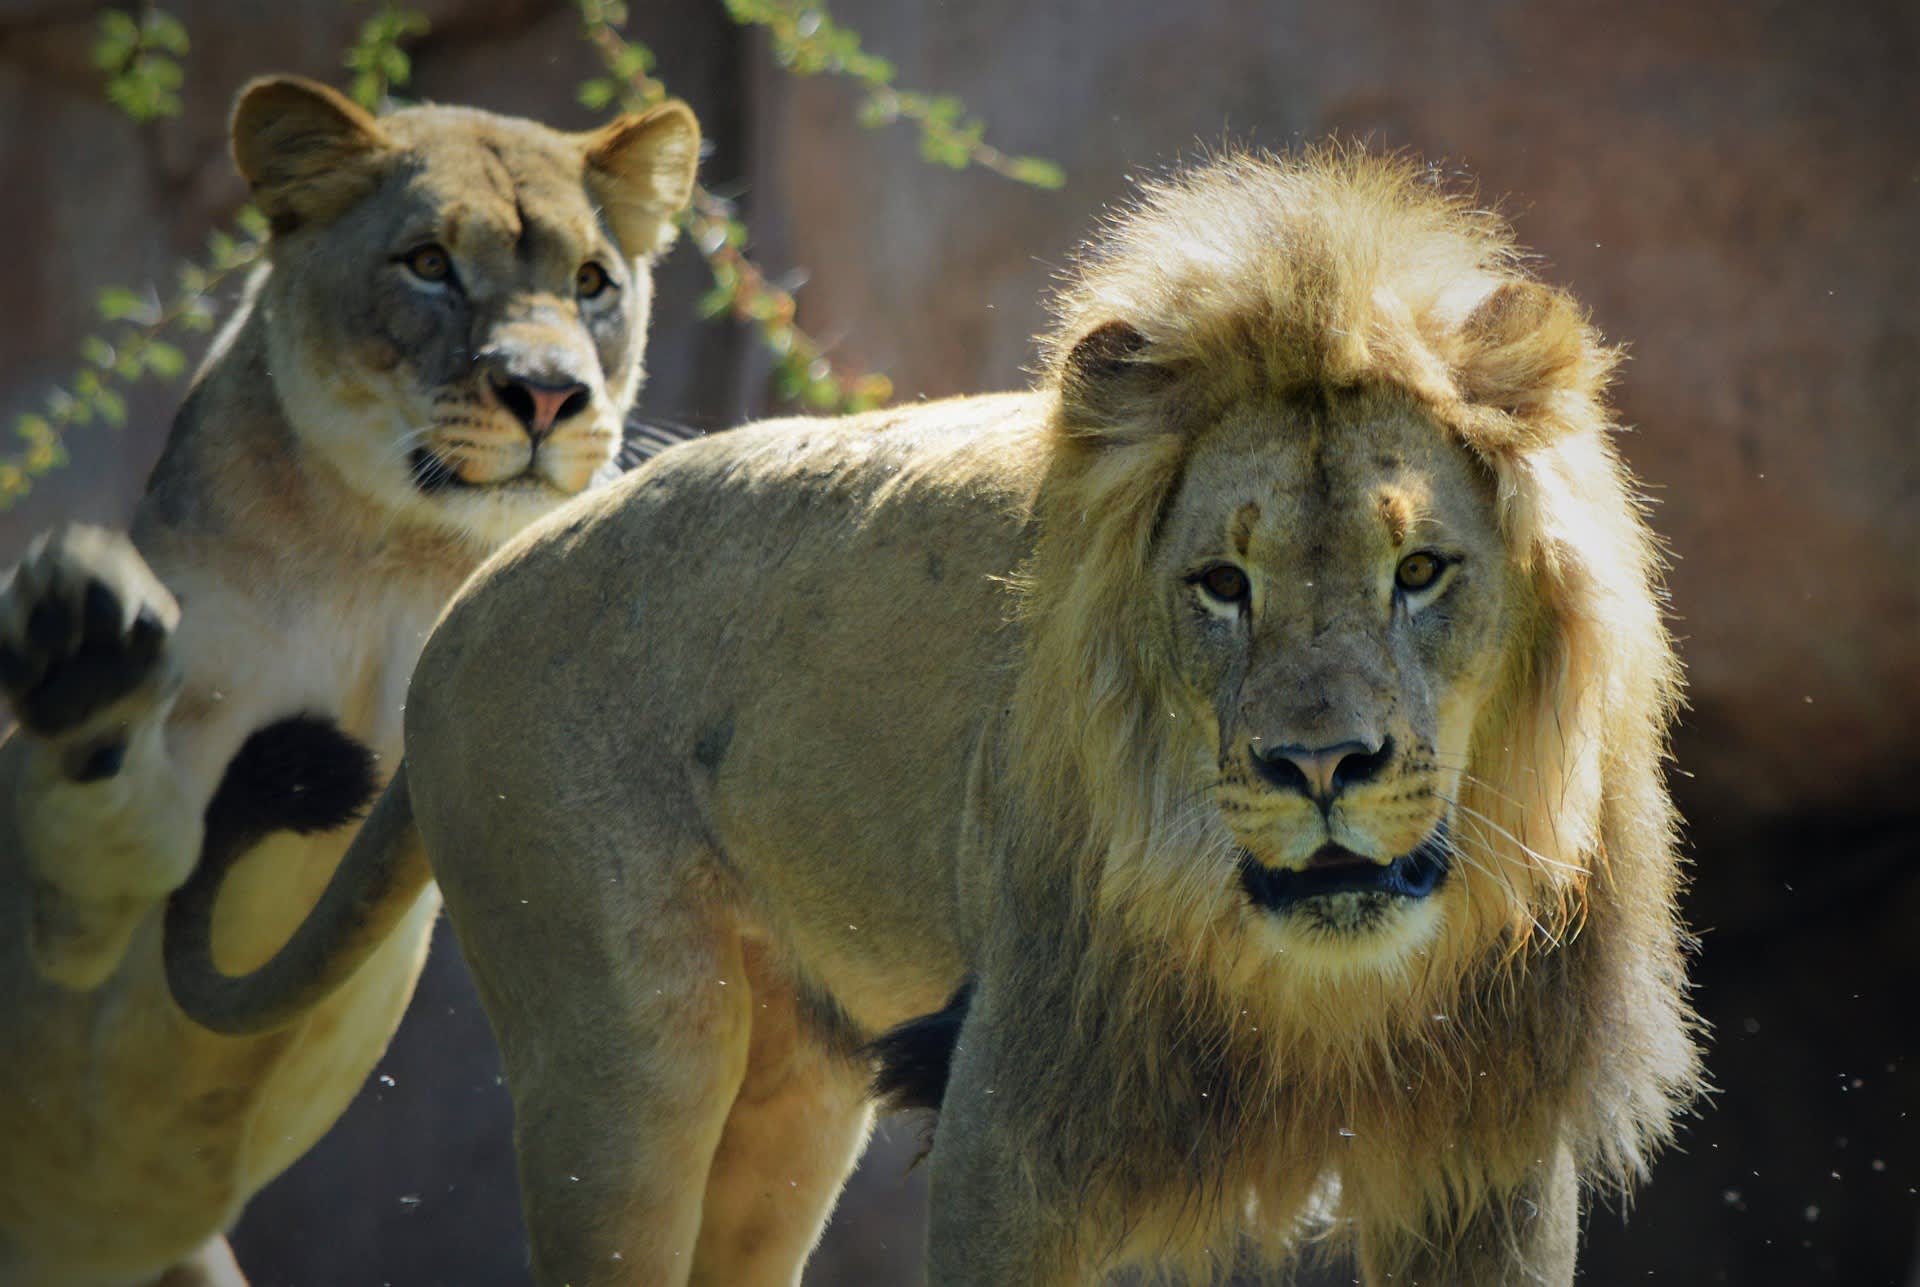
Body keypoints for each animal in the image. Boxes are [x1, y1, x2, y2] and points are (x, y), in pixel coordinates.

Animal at [0, 75, 702, 1283]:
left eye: (591, 283)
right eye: (428, 263)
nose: (549, 395)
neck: (382, 552)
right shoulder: (62, 948)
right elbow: (102, 838)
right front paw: (87, 656)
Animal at [161, 148, 1697, 1283]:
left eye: (1420, 570)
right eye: (1222, 585)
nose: (1320, 765)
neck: (1317, 983)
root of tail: (476, 588)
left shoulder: (1492, 1151)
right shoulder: (1019, 1142)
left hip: (796, 1093)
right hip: (625, 1057)